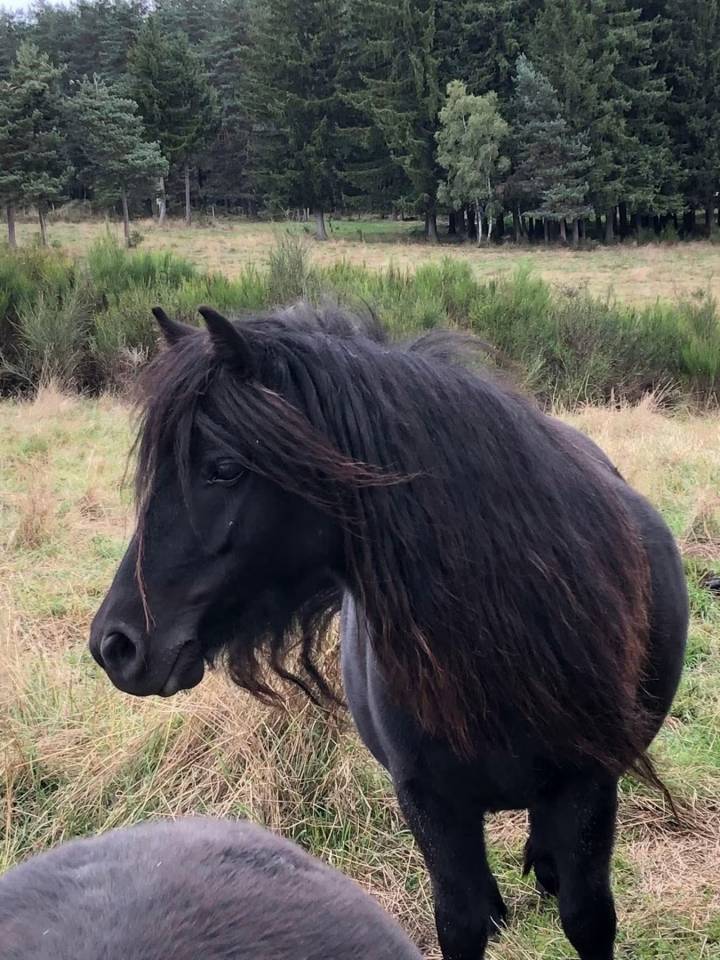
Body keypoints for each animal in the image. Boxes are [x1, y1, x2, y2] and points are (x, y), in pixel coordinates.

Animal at [89, 304, 688, 960]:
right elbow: (463, 920)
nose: (115, 645)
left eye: (223, 469)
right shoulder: (430, 803)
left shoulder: (589, 785)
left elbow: (586, 917)